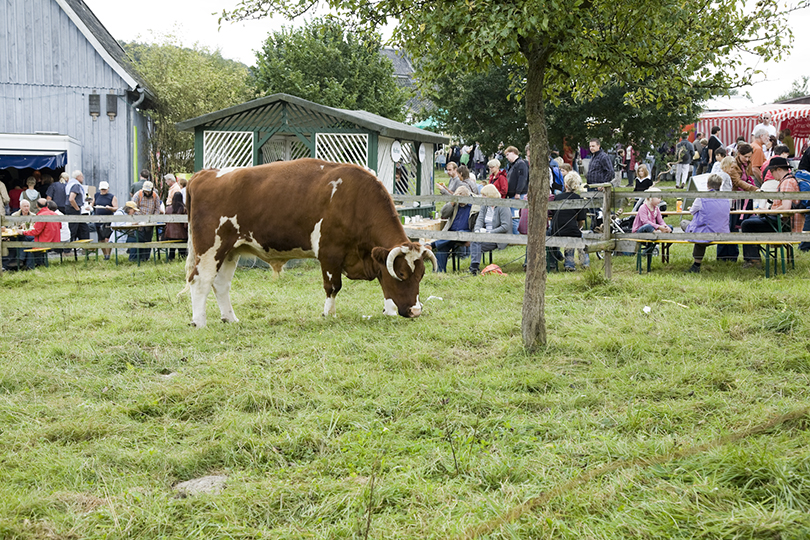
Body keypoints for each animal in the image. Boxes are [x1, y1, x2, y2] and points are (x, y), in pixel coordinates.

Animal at [181, 158, 436, 326]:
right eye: (402, 274)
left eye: (421, 275)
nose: (415, 311)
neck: (355, 199)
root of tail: (204, 174)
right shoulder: (330, 253)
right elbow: (333, 286)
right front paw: (328, 315)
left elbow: (384, 282)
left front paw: (389, 310)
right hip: (211, 248)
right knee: (200, 281)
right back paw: (199, 322)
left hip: (230, 251)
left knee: (221, 284)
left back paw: (230, 318)